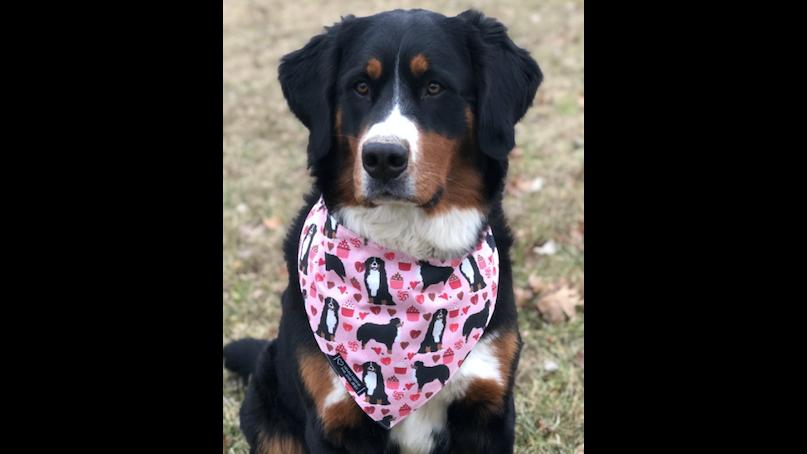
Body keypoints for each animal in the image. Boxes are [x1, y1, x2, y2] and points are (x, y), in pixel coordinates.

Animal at [223, 7, 544, 454]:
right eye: (360, 87)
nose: (382, 158)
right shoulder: (334, 420)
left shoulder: (489, 408)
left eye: (434, 87)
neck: (407, 246)